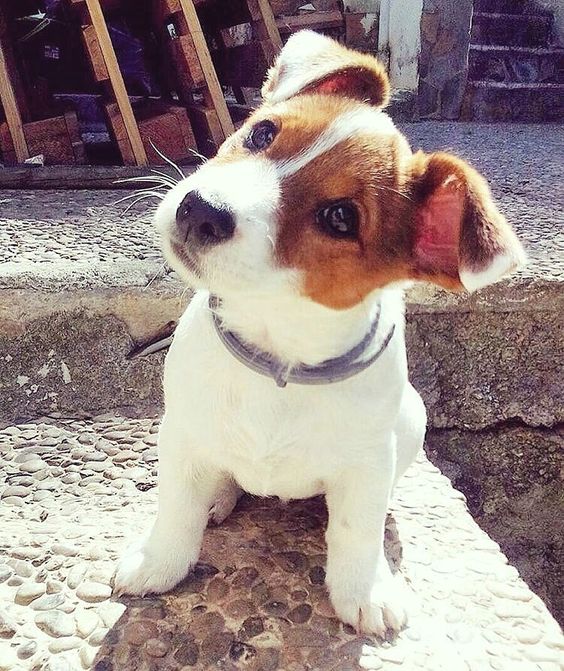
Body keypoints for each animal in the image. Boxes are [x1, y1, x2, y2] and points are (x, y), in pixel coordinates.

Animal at [113, 30, 524, 636]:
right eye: (262, 132)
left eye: (339, 218)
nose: (200, 210)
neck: (277, 349)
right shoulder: (182, 433)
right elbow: (176, 507)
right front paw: (158, 561)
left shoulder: (367, 461)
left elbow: (356, 529)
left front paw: (365, 588)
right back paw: (218, 496)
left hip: (410, 421)